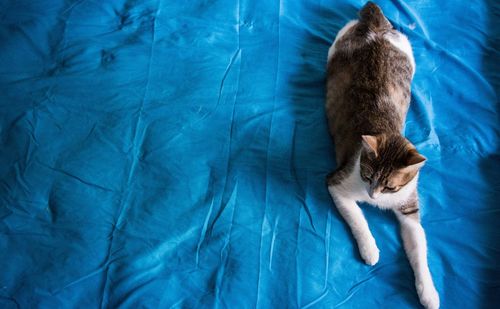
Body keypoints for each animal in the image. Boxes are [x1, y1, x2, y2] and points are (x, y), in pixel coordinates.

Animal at [324, 2, 438, 308]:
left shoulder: (409, 207)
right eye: (367, 176)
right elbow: (358, 219)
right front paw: (370, 250)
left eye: (390, 186)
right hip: (337, 45)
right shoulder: (338, 182)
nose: (373, 197)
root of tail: (374, 26)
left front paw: (428, 292)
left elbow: (419, 248)